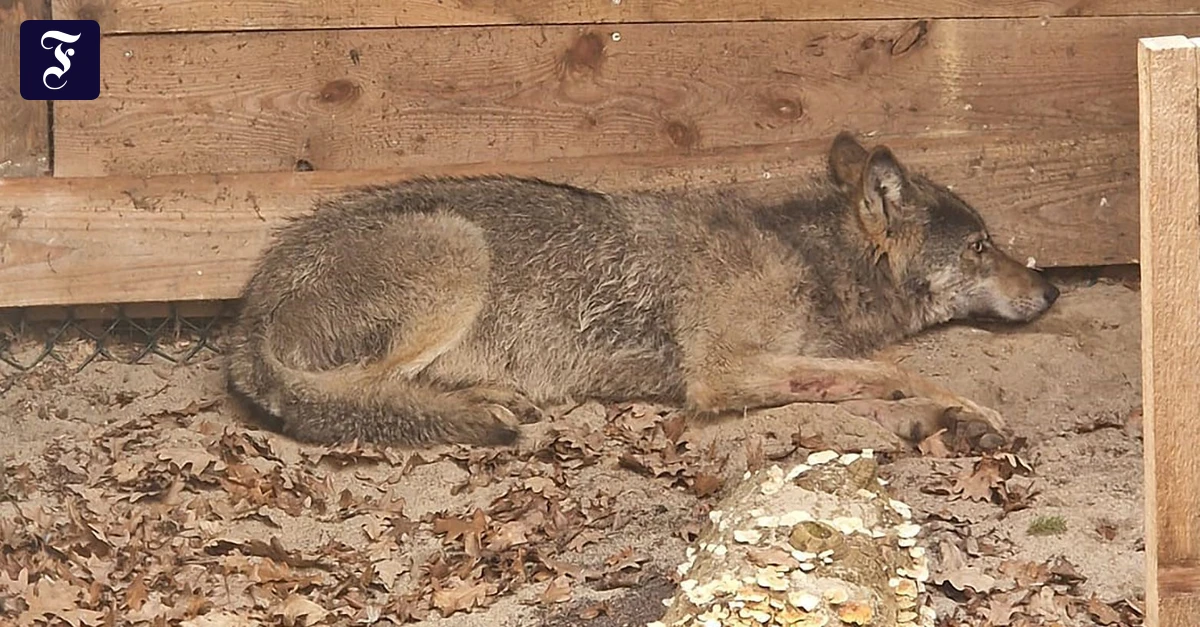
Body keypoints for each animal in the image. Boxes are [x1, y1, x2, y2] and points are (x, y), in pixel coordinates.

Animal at [223, 132, 1059, 452]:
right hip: (459, 250)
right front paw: (966, 409)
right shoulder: (720, 371)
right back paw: (480, 408)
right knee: (360, 396)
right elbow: (894, 370)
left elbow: (858, 382)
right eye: (982, 246)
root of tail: (248, 315)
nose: (1052, 288)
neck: (808, 258)